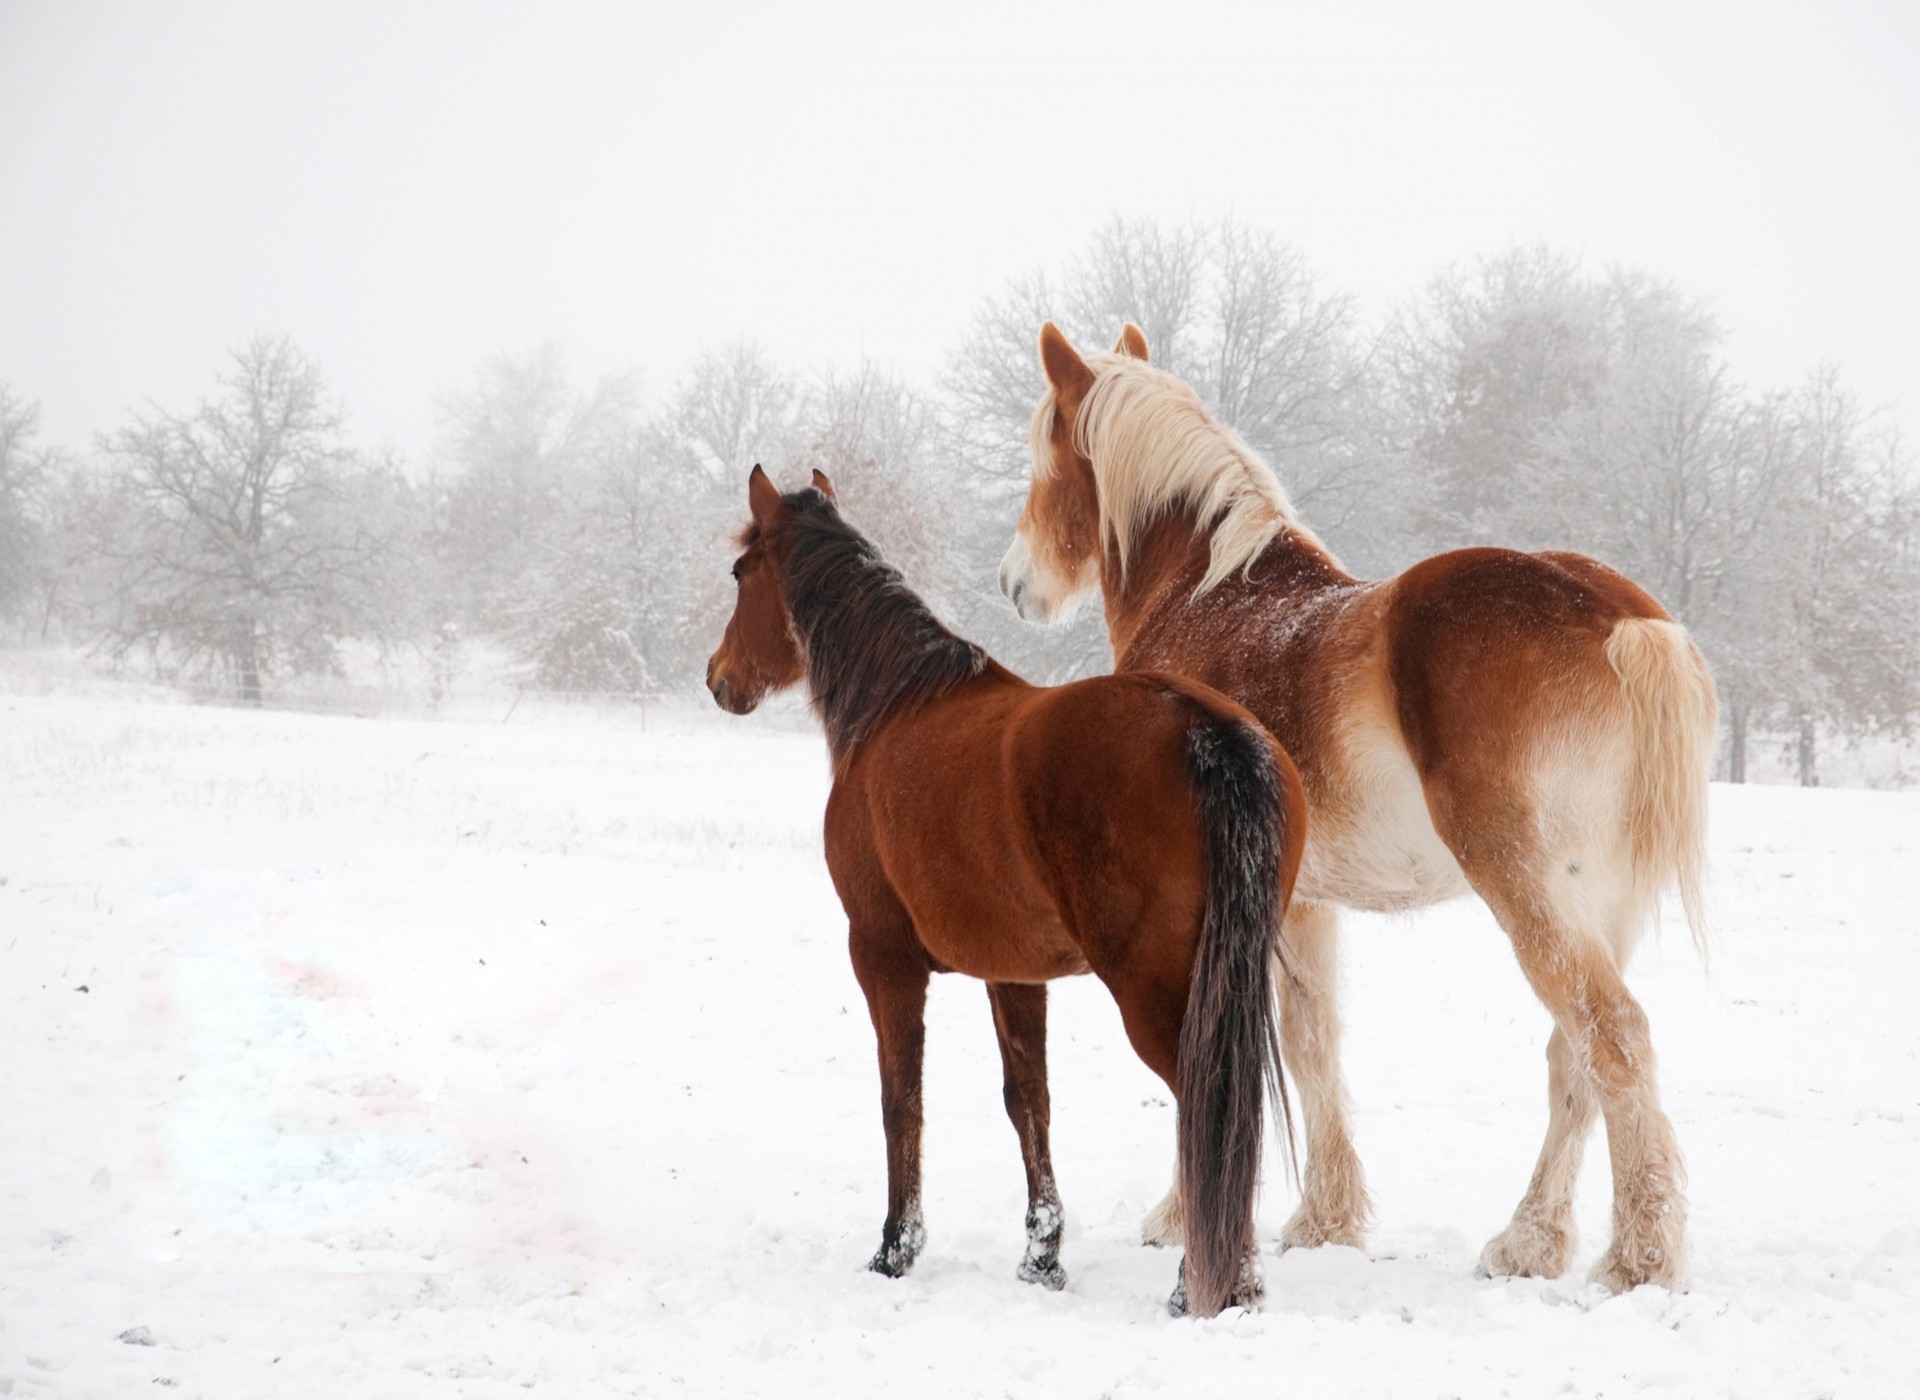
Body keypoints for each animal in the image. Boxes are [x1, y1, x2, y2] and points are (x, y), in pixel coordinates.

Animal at [705, 464, 1307, 1317]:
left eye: (740, 572)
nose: (719, 680)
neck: (896, 707)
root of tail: (1205, 728)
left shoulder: (882, 957)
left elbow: (902, 1099)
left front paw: (895, 1249)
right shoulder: (1014, 973)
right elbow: (1029, 1102)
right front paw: (1041, 1257)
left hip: (1158, 992)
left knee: (1207, 1107)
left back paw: (1207, 1286)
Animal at [998, 323, 1718, 1294]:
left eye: (1043, 455)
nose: (1014, 583)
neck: (1209, 599)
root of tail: (1620, 618)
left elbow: (1214, 1044)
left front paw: (1185, 1216)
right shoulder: (1304, 903)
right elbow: (1314, 1044)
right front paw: (1327, 1221)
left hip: (1530, 891)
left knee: (1613, 1037)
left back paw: (1637, 1259)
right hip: (1602, 903)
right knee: (1574, 1057)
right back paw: (1530, 1241)